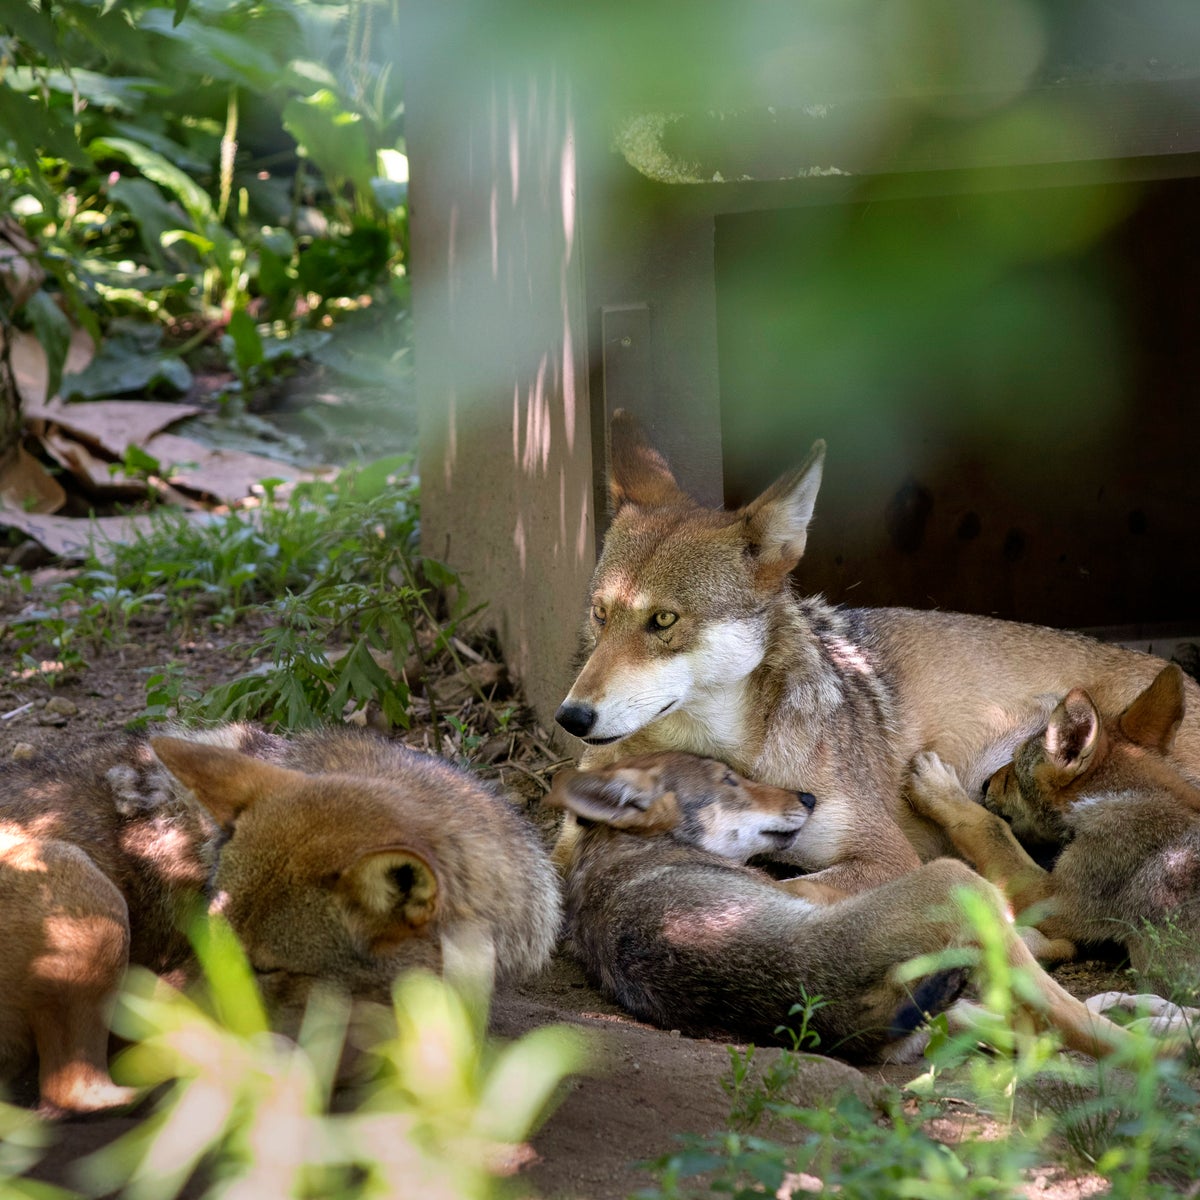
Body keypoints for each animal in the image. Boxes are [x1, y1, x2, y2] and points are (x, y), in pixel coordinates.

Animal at [548, 752, 1131, 1061]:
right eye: (731, 781)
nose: (808, 799)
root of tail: (847, 1021)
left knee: (1025, 1025)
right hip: (949, 879)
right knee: (1058, 1010)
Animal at [554, 412, 1200, 893]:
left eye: (663, 620)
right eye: (600, 614)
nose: (571, 717)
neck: (733, 753)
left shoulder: (885, 856)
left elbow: (792, 890)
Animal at [908, 663, 1200, 998]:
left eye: (1015, 765)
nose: (984, 784)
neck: (1125, 794)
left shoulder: (1051, 900)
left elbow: (990, 826)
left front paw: (940, 789)